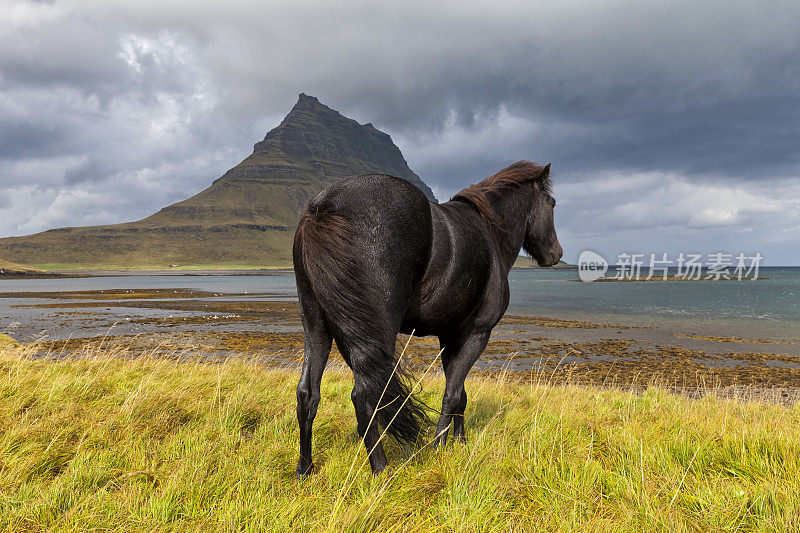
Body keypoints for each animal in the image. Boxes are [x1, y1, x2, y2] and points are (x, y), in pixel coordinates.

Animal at [294, 160, 564, 476]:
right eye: (552, 203)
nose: (556, 254)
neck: (490, 234)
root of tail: (324, 205)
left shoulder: (451, 337)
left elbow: (460, 392)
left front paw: (459, 441)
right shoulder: (478, 334)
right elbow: (452, 393)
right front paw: (439, 446)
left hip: (317, 326)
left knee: (307, 393)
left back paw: (305, 469)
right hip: (373, 332)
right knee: (364, 395)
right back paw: (381, 469)